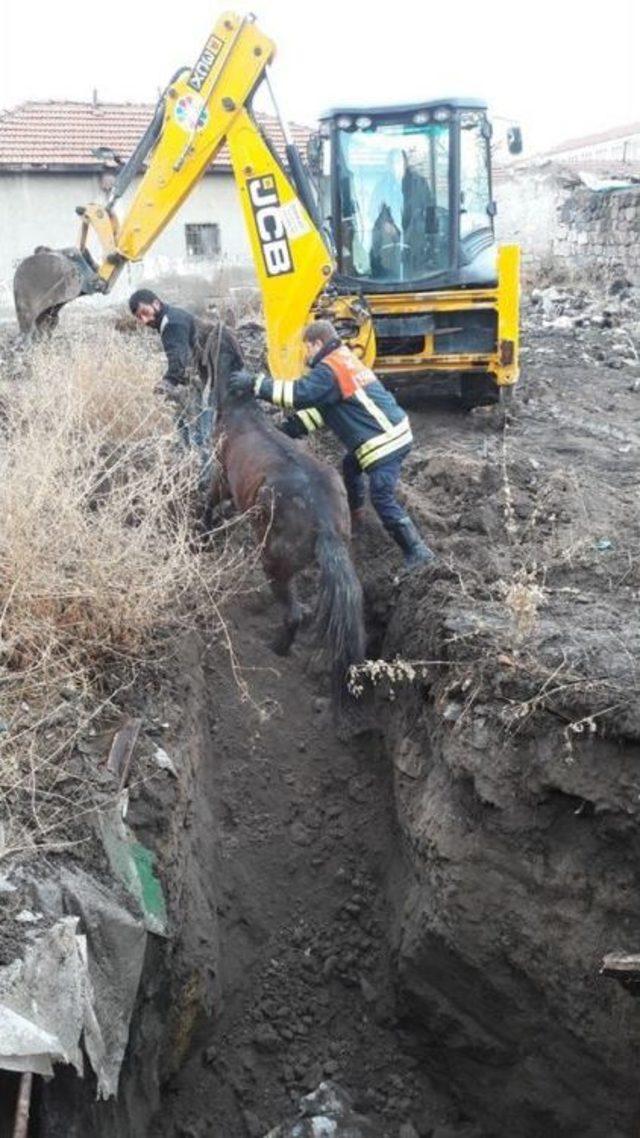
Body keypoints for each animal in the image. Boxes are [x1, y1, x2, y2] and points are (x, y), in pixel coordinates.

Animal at [207, 336, 362, 691]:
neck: (240, 410)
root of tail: (325, 525)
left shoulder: (220, 475)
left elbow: (206, 501)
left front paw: (202, 532)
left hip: (274, 562)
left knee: (294, 614)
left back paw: (276, 648)